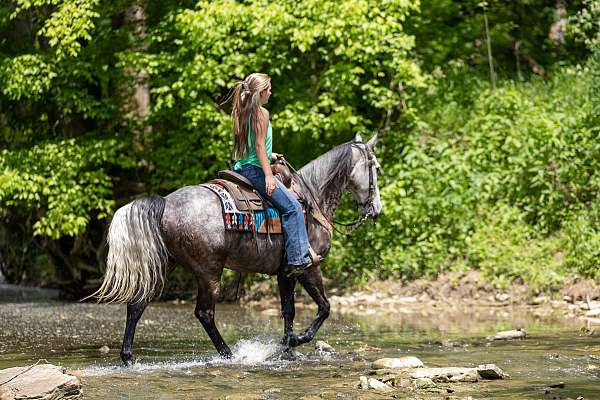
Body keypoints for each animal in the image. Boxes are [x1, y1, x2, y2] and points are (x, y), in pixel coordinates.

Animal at [92, 133, 384, 364]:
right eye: (377, 168)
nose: (377, 210)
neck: (312, 200)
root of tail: (165, 202)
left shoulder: (285, 273)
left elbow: (288, 310)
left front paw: (288, 349)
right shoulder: (308, 267)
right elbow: (325, 307)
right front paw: (296, 340)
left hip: (166, 266)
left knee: (137, 304)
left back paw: (128, 357)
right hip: (209, 272)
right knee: (204, 313)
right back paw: (229, 354)